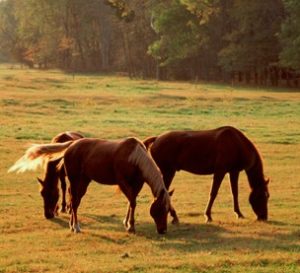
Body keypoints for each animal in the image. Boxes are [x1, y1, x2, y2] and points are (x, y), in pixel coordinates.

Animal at [8, 137, 171, 233]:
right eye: (160, 210)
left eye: (168, 210)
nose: (162, 230)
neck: (135, 157)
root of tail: (72, 145)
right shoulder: (124, 183)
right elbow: (132, 202)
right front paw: (130, 226)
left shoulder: (137, 184)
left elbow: (131, 203)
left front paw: (127, 223)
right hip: (75, 181)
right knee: (74, 203)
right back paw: (76, 227)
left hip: (84, 182)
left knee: (75, 201)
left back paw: (72, 225)